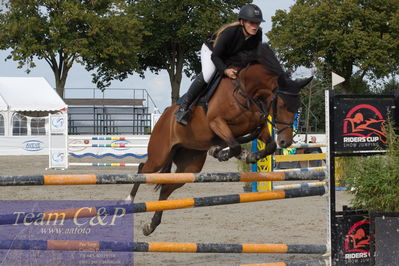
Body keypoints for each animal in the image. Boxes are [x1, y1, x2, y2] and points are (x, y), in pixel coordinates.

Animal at [130, 42, 314, 236]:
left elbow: (266, 144)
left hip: (190, 165)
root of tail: (164, 116)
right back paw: (129, 200)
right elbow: (234, 145)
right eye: (281, 105)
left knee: (166, 187)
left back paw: (151, 225)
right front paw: (232, 154)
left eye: (298, 107)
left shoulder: (256, 124)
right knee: (143, 168)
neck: (246, 90)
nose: (286, 142)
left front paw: (248, 156)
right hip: (159, 154)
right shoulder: (217, 122)